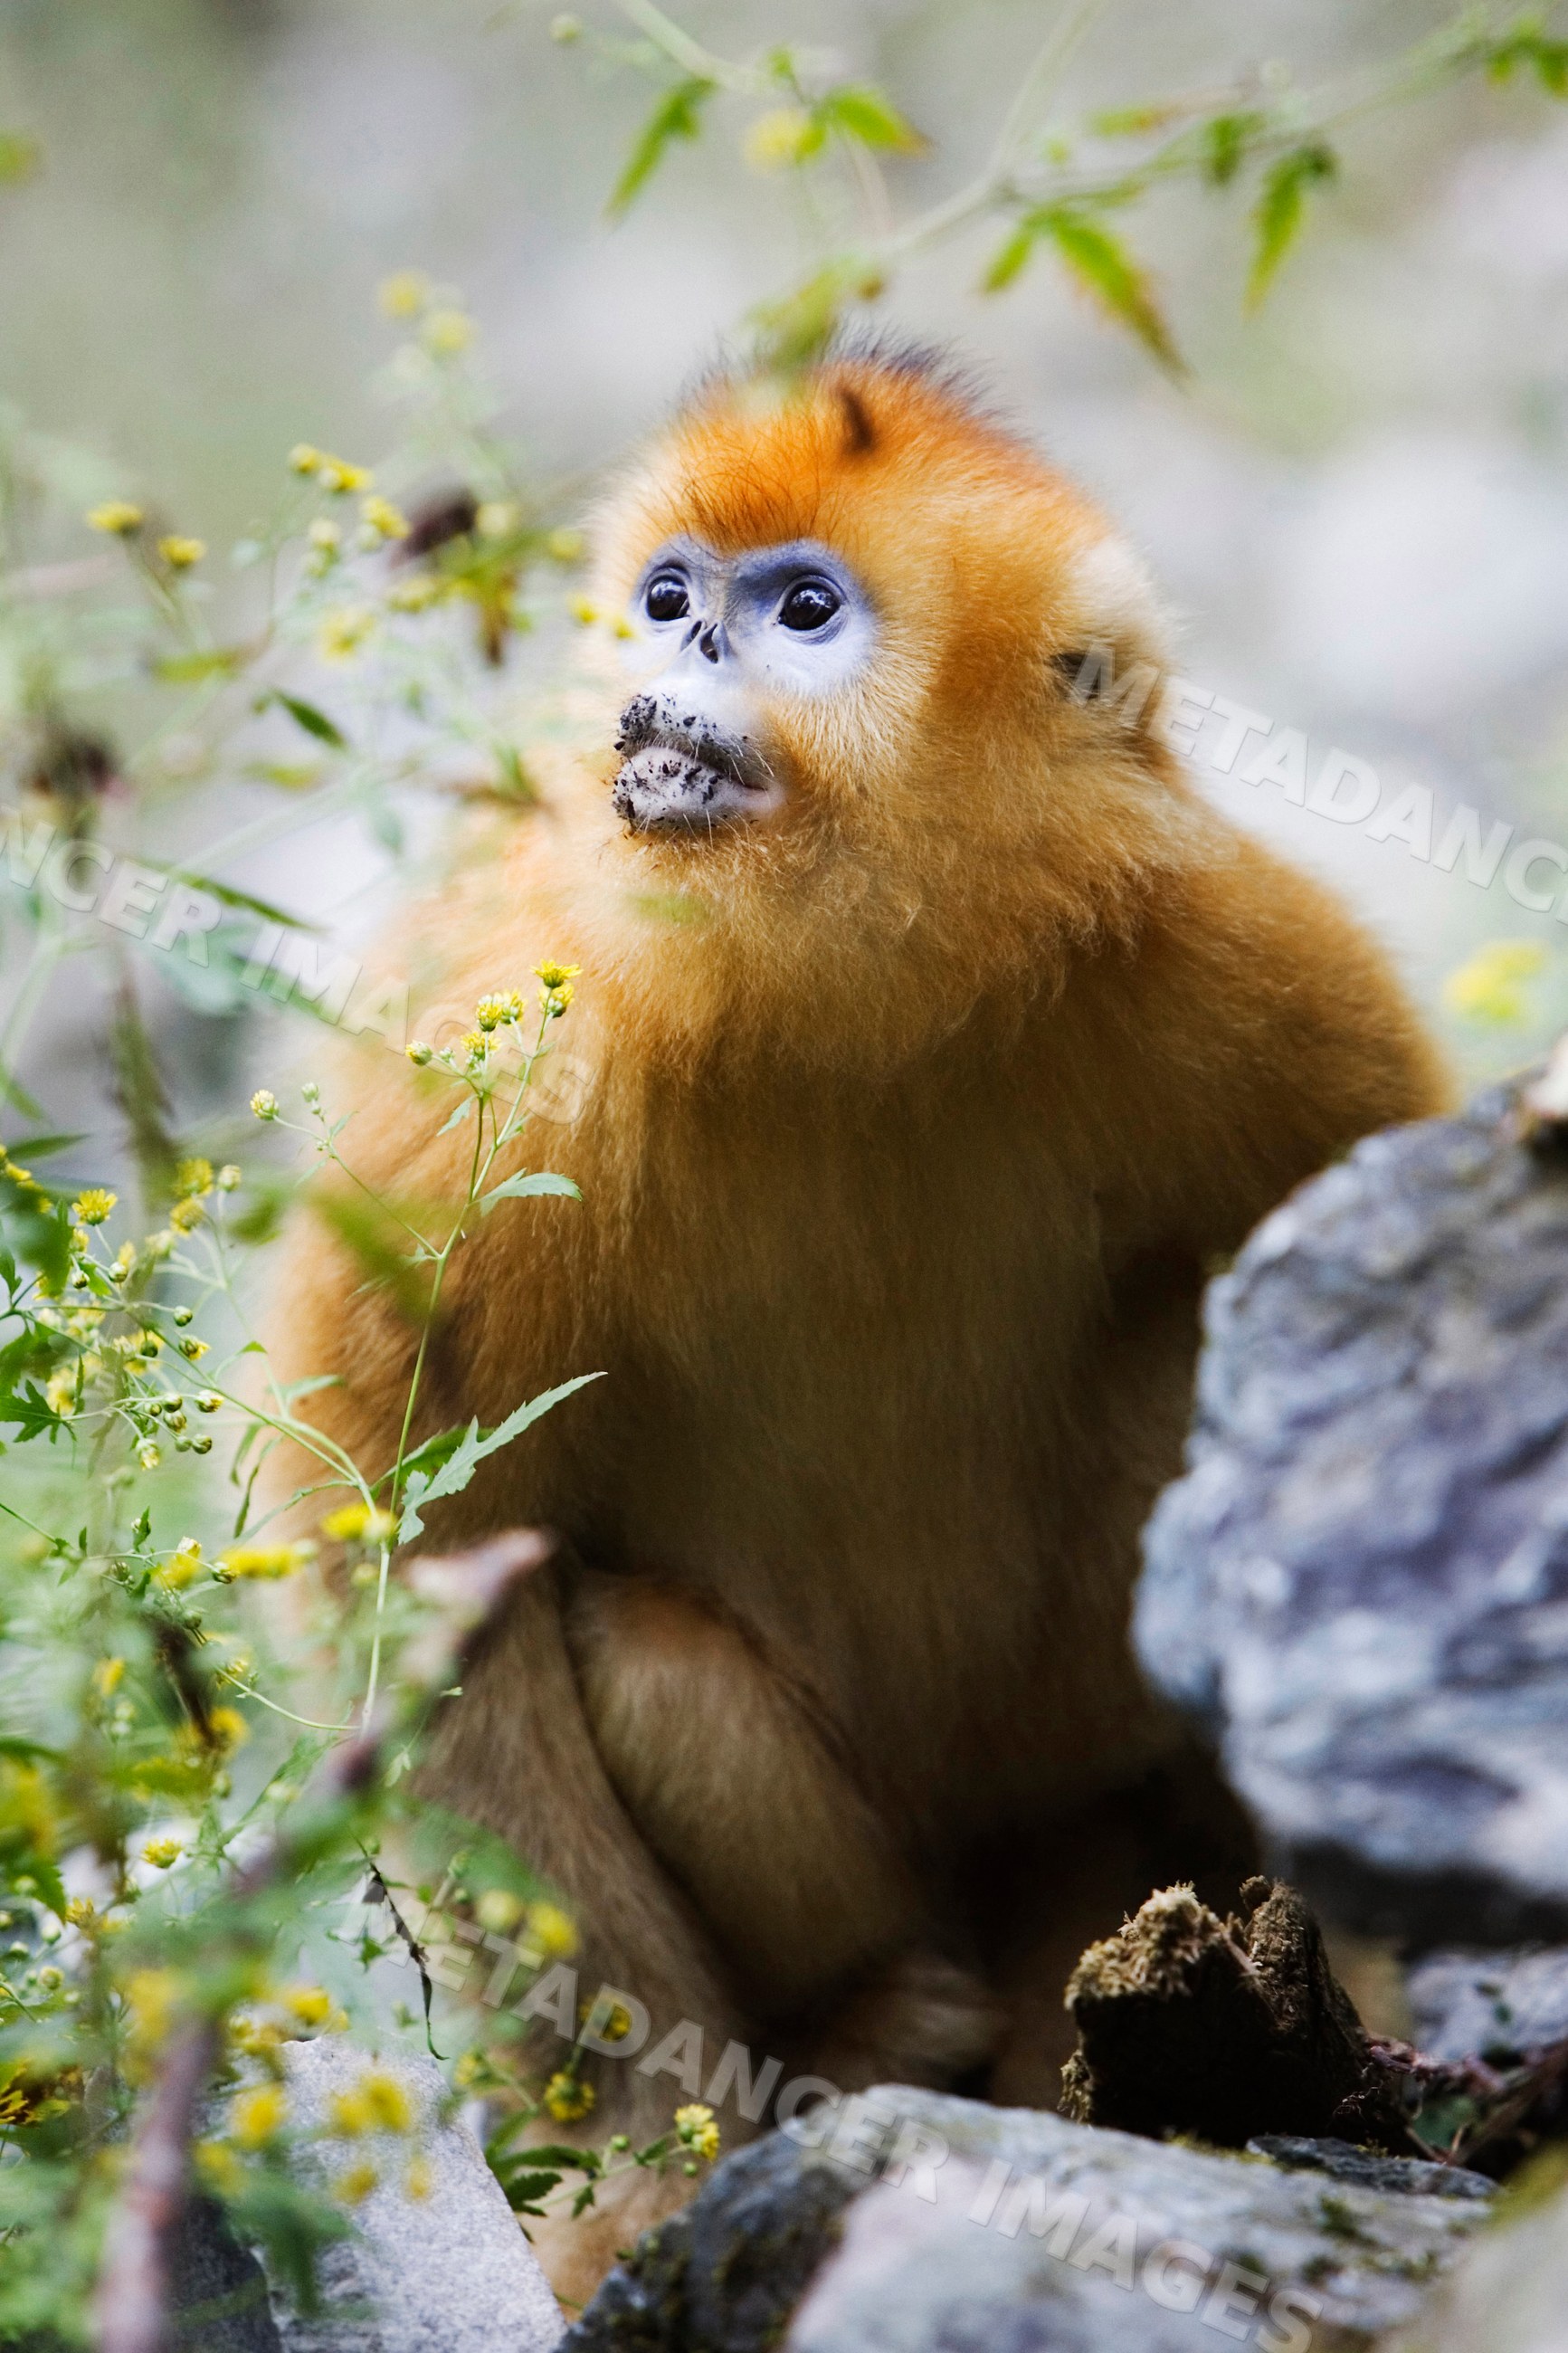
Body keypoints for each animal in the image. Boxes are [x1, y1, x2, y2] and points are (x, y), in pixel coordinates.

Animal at [264, 345, 1447, 2300]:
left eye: (801, 611)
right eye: (668, 597)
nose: (679, 669)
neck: (850, 987)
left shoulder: (1241, 956)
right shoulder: (494, 1027)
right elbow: (427, 1545)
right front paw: (638, 2170)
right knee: (631, 1648)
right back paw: (870, 2022)